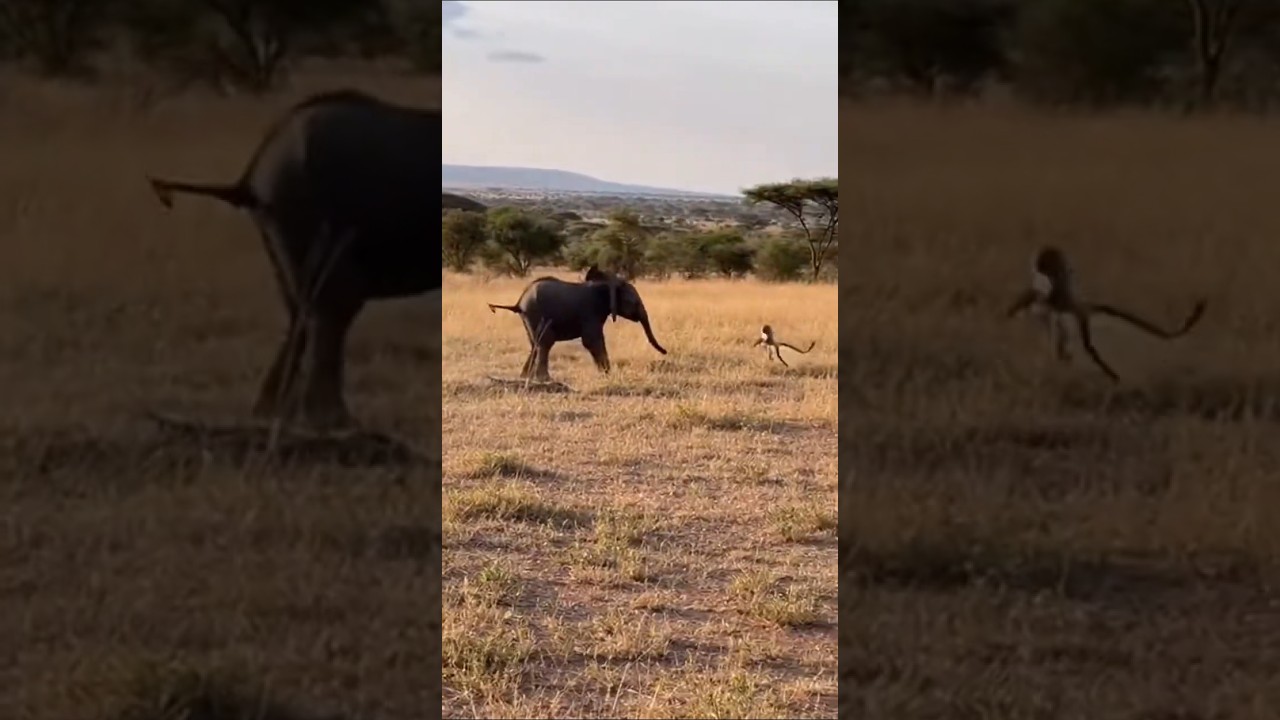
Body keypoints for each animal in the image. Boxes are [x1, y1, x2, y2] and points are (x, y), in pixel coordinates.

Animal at [145, 89, 441, 431]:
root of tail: (252, 173)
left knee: (301, 308)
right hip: (310, 211)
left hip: (281, 222)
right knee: (333, 305)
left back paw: (270, 415)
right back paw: (334, 422)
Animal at [487, 266, 668, 381]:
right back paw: (544, 379)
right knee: (545, 343)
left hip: (529, 317)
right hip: (536, 312)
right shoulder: (590, 311)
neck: (608, 285)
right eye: (634, 302)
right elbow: (592, 340)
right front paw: (607, 374)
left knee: (535, 343)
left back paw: (526, 377)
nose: (666, 352)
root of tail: (519, 302)